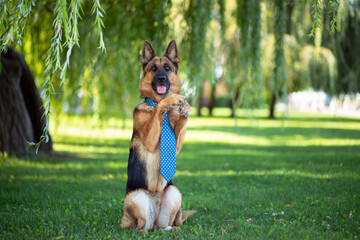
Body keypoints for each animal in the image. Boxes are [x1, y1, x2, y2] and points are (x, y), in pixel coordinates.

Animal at [120, 40, 194, 232]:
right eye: (153, 69)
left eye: (167, 68)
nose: (161, 78)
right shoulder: (149, 139)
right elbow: (162, 104)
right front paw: (172, 100)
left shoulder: (176, 146)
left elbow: (181, 122)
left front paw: (185, 108)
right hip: (137, 197)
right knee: (141, 228)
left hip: (175, 192)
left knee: (166, 225)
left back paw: (175, 228)